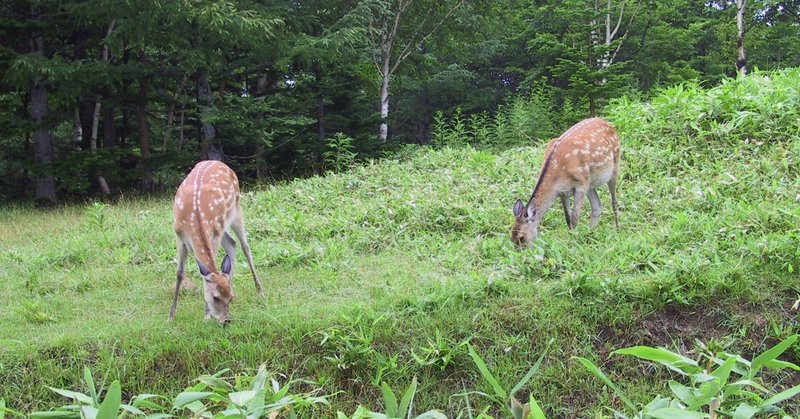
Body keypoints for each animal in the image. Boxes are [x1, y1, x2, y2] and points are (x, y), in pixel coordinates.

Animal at [170, 161, 266, 324]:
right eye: (216, 298)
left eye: (230, 298)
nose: (226, 320)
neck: (193, 219)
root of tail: (219, 162)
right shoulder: (179, 236)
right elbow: (179, 273)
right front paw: (171, 316)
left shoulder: (213, 234)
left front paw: (207, 315)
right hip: (224, 226)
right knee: (232, 243)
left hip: (235, 211)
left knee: (245, 247)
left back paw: (260, 292)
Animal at [510, 116, 620, 251]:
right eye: (511, 237)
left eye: (522, 237)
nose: (520, 253)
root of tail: (608, 123)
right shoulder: (562, 192)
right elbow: (567, 218)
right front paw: (572, 239)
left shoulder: (581, 184)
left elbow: (574, 218)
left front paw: (573, 244)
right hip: (591, 183)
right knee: (597, 206)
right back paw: (590, 234)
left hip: (614, 165)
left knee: (613, 201)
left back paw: (617, 230)